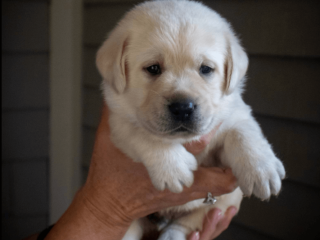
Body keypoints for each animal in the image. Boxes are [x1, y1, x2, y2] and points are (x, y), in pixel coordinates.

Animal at [95, 0, 284, 239]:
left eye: (206, 69)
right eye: (153, 68)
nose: (183, 108)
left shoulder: (234, 115)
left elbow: (243, 132)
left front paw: (261, 169)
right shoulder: (118, 122)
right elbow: (143, 134)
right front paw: (173, 168)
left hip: (222, 204)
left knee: (187, 222)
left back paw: (171, 235)